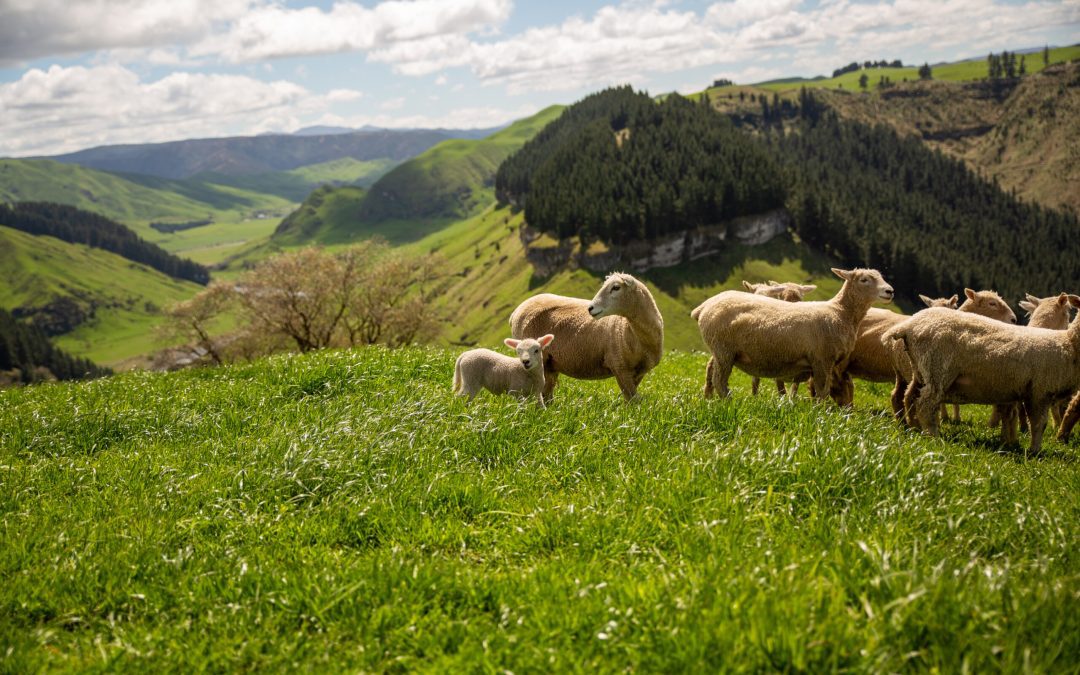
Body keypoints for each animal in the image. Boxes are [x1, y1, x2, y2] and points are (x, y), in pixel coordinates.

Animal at [507, 272, 665, 399]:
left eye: (616, 287)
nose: (590, 308)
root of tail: (517, 310)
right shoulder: (619, 366)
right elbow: (632, 400)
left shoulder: (638, 372)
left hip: (549, 364)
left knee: (547, 394)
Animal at [691, 265, 894, 397]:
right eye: (864, 280)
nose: (890, 291)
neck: (839, 312)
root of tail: (705, 306)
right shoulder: (822, 359)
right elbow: (822, 392)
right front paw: (820, 416)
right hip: (723, 350)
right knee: (719, 381)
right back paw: (728, 402)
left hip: (722, 352)